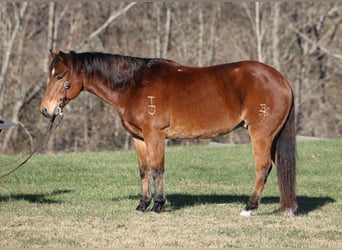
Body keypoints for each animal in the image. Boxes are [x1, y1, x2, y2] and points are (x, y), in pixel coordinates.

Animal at [40, 50, 296, 217]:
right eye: (50, 75)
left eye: (60, 76)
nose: (45, 110)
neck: (134, 85)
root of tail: (282, 80)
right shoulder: (139, 138)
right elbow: (144, 170)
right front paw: (142, 205)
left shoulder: (156, 135)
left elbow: (157, 169)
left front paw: (158, 205)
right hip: (272, 137)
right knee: (277, 166)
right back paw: (286, 208)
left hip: (261, 135)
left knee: (263, 167)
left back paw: (249, 208)